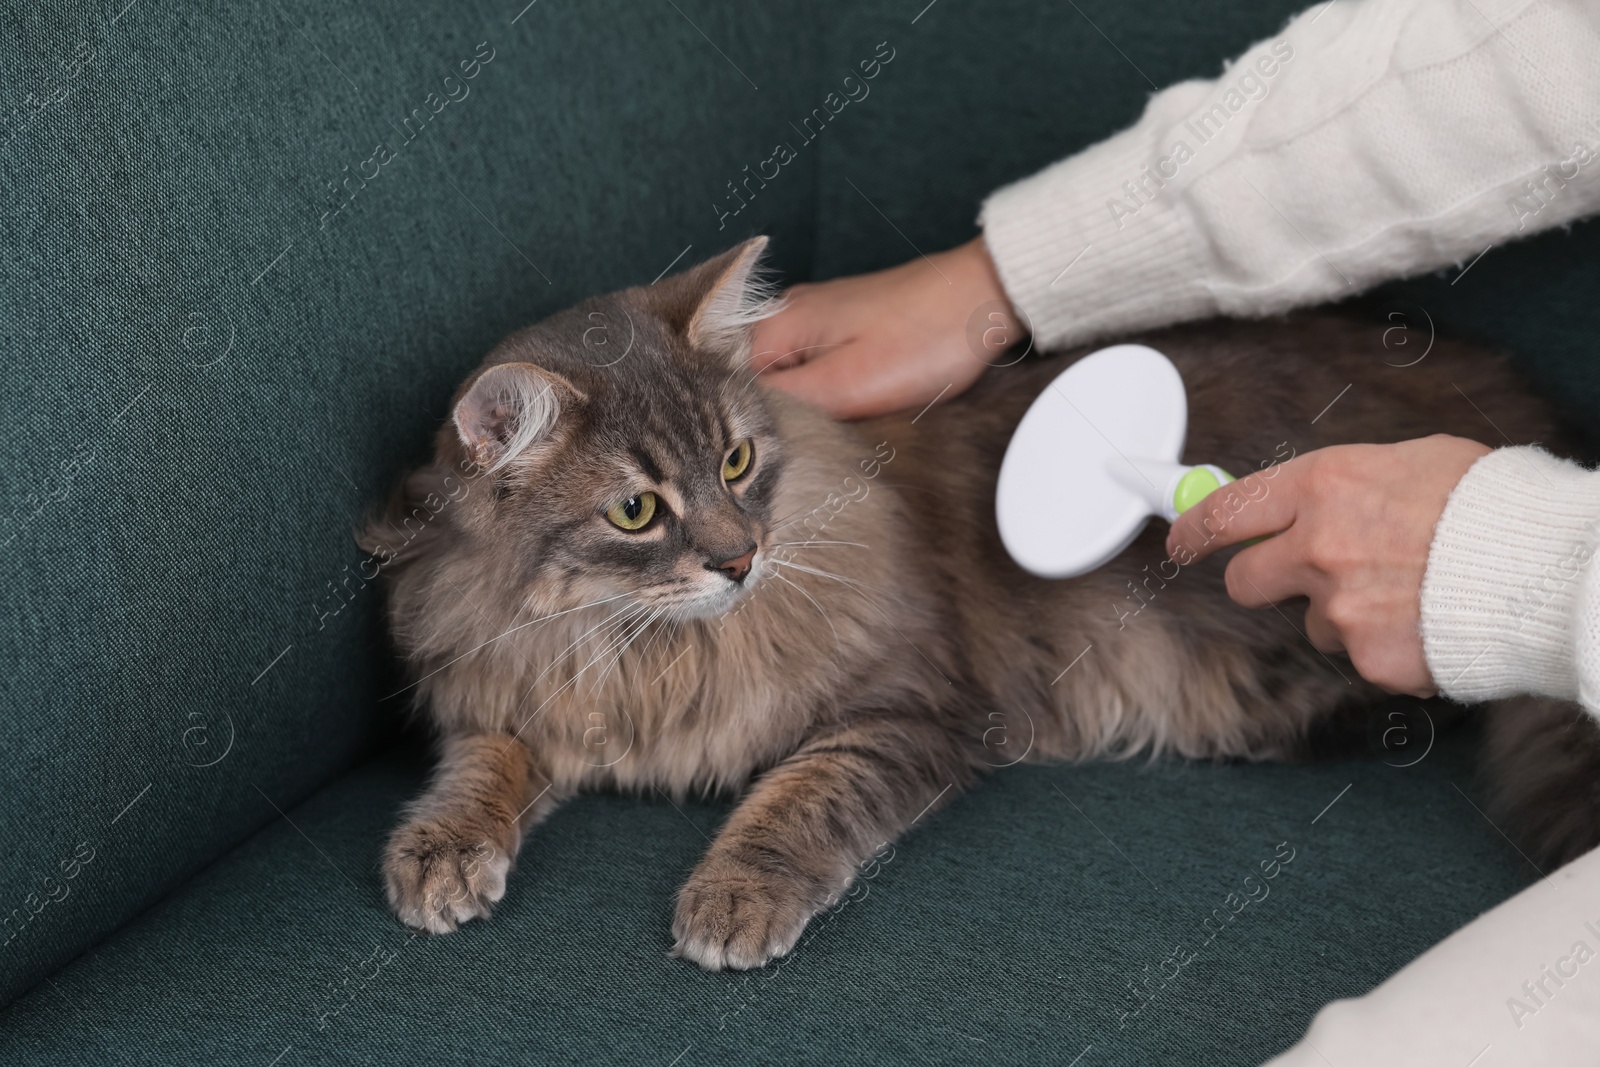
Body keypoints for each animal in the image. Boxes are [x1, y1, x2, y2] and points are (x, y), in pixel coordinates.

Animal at [363, 238, 1600, 972]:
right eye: (634, 510)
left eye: (733, 461)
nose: (741, 559)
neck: (646, 655)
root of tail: (1544, 423)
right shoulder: (513, 683)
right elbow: (481, 761)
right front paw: (438, 854)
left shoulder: (905, 705)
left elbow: (793, 801)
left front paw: (733, 897)